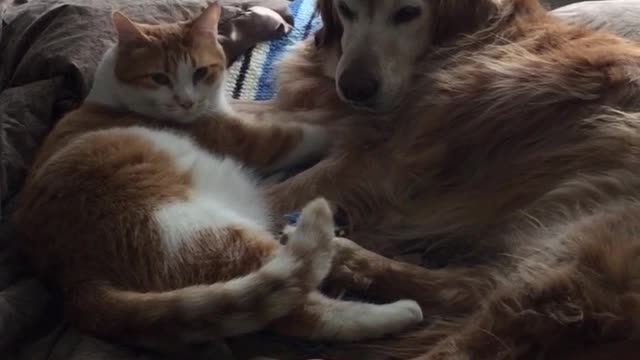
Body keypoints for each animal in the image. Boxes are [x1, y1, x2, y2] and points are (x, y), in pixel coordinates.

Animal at [11, 1, 424, 352]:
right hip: (209, 233)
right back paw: (397, 312)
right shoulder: (248, 140)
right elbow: (301, 131)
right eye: (159, 77)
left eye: (200, 72)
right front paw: (351, 123)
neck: (113, 97)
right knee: (299, 305)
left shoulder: (240, 111)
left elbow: (277, 110)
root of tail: (76, 281)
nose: (186, 101)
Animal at [232, 0, 640, 358]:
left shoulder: (379, 165)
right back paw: (346, 259)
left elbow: (275, 192)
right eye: (346, 10)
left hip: (577, 266)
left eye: (408, 12)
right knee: (471, 284)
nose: (354, 88)